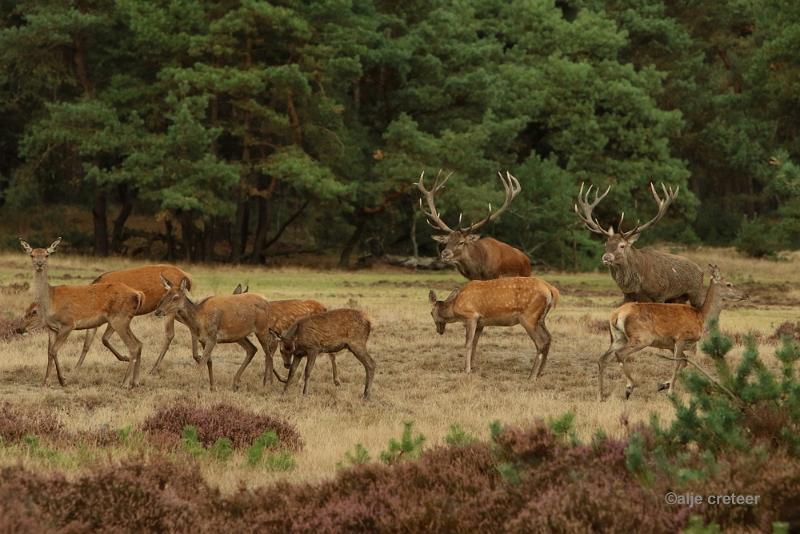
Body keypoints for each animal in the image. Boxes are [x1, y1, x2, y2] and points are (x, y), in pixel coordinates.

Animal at [18, 240, 145, 390]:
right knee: (139, 343)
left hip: (119, 319)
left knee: (133, 346)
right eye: (32, 255)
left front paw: (62, 380)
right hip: (125, 320)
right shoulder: (52, 328)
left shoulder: (68, 323)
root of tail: (137, 294)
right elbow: (49, 352)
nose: (39, 264)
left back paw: (125, 383)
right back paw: (136, 382)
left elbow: (54, 350)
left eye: (47, 254)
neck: (50, 302)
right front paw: (45, 382)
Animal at [428, 278, 560, 378]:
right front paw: (473, 366)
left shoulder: (471, 316)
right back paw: (540, 373)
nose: (439, 331)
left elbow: (468, 344)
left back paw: (532, 375)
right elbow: (475, 343)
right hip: (540, 319)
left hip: (529, 317)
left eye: (430, 313)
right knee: (548, 338)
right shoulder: (480, 323)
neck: (455, 308)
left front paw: (467, 370)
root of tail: (551, 290)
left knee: (540, 342)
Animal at [572, 184, 704, 308]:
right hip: (676, 298)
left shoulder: (660, 294)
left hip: (696, 293)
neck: (637, 284)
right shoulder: (628, 296)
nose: (606, 257)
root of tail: (701, 270)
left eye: (622, 245)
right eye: (606, 244)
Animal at [600, 264, 752, 402]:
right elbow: (676, 363)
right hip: (642, 338)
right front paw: (670, 392)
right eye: (729, 284)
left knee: (603, 358)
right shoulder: (681, 338)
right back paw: (629, 388)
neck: (701, 318)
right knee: (620, 354)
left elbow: (684, 362)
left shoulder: (670, 344)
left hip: (618, 338)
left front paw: (663, 385)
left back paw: (601, 395)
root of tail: (616, 315)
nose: (746, 294)